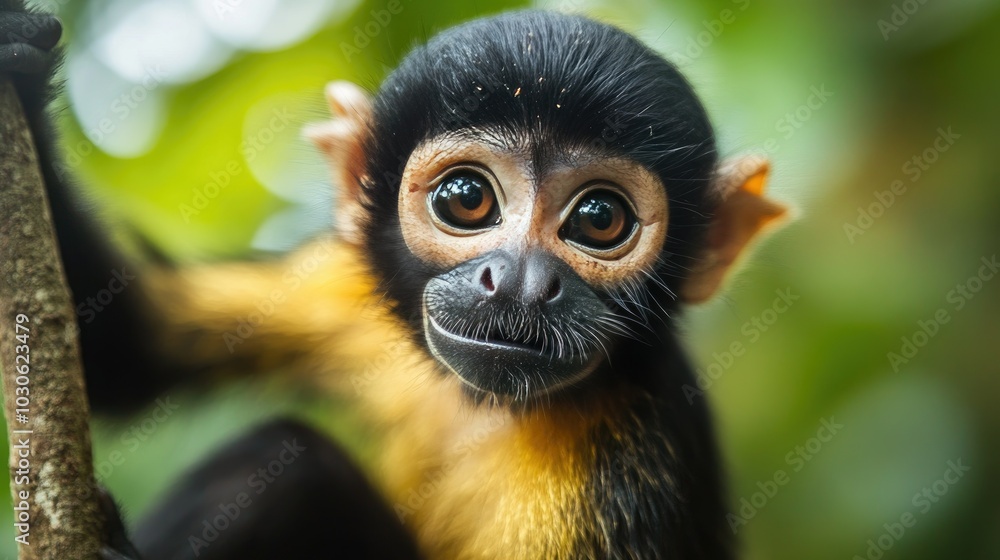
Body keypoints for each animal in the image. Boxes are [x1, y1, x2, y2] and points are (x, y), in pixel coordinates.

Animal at [0, 4, 788, 559]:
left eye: (600, 218)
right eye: (465, 199)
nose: (518, 283)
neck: (483, 408)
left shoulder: (629, 464)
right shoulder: (342, 288)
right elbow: (126, 345)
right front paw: (19, 59)